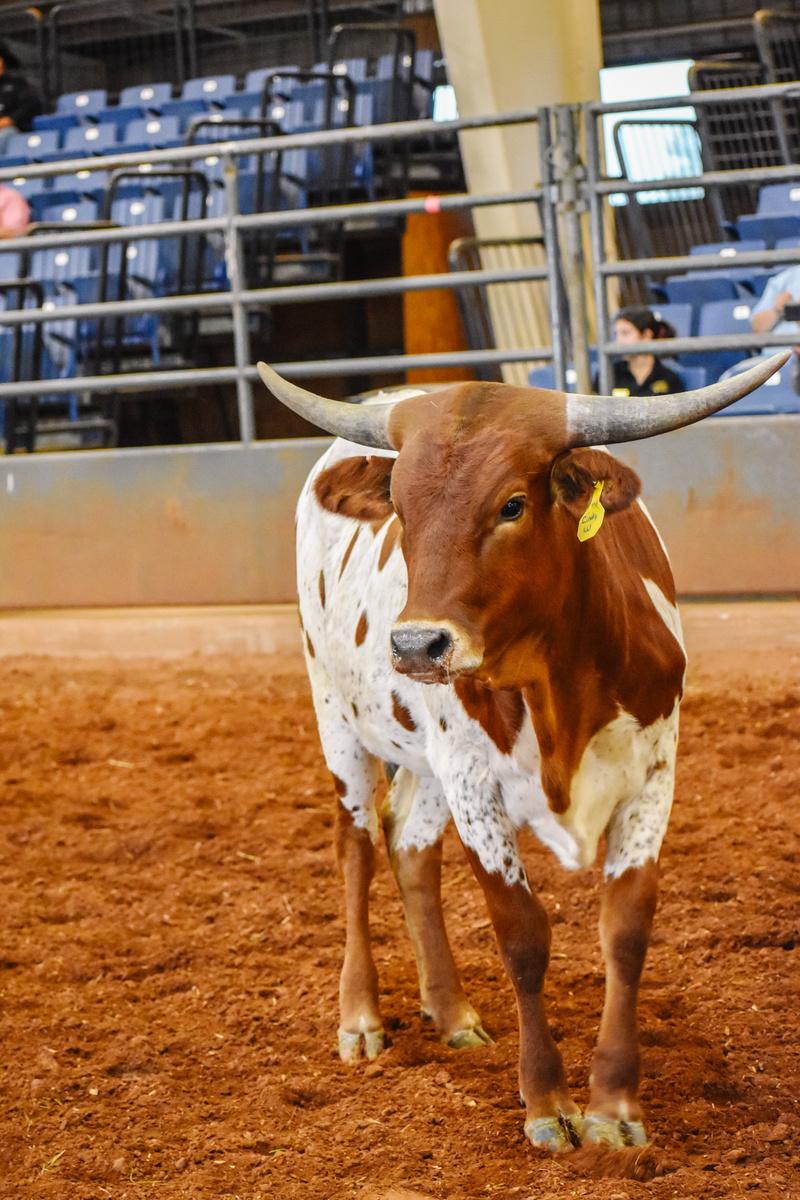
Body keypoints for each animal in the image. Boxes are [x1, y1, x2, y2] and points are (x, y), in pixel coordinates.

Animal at [257, 352, 786, 1156]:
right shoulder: (475, 786)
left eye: (511, 505)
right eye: (401, 509)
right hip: (337, 716)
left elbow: (626, 929)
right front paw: (546, 1104)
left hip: (426, 758)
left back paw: (451, 1013)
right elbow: (524, 936)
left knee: (408, 843)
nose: (416, 645)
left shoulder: (655, 774)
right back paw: (362, 1017)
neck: (561, 678)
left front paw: (615, 1107)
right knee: (356, 844)